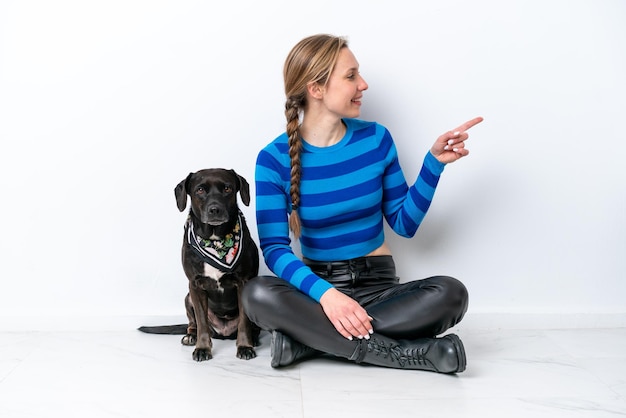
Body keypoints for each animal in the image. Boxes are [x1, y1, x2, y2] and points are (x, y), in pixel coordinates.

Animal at [138, 168, 258, 360]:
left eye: (227, 188)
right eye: (200, 190)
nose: (215, 209)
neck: (215, 241)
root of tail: (223, 333)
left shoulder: (243, 283)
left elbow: (244, 322)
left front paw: (245, 346)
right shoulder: (195, 285)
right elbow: (201, 321)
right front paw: (202, 348)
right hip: (188, 297)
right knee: (194, 323)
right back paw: (190, 336)